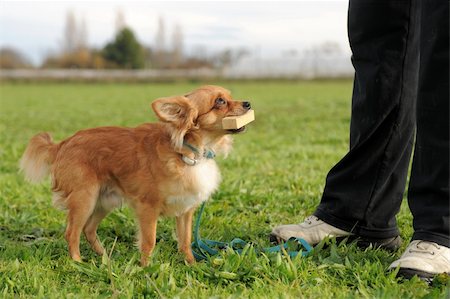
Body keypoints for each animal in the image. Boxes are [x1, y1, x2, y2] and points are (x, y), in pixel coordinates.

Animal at [19, 85, 251, 266]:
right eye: (220, 101)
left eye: (230, 96)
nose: (248, 103)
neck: (190, 152)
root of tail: (62, 144)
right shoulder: (148, 208)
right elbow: (149, 241)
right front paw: (146, 268)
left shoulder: (185, 211)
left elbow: (185, 241)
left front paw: (191, 264)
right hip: (85, 198)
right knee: (72, 232)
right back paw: (78, 262)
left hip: (105, 201)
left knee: (88, 229)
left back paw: (105, 257)